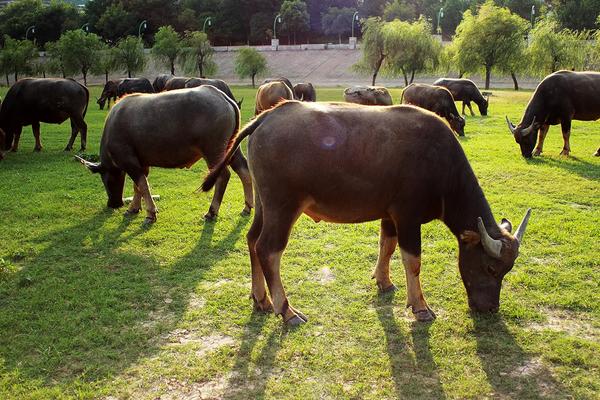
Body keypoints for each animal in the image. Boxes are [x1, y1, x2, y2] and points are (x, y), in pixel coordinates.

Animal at [77, 85, 251, 222]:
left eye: (105, 180)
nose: (112, 204)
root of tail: (224, 98)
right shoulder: (142, 163)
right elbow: (137, 186)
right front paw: (133, 208)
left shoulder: (129, 162)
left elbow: (142, 184)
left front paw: (150, 213)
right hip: (232, 147)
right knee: (243, 169)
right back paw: (248, 207)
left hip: (213, 151)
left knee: (223, 175)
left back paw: (211, 212)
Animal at [204, 101, 532, 326]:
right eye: (491, 268)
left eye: (507, 270)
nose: (489, 308)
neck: (442, 166)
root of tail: (268, 115)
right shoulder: (408, 217)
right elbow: (413, 261)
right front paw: (420, 306)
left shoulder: (390, 215)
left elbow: (386, 246)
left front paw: (383, 281)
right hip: (283, 207)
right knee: (268, 250)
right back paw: (286, 310)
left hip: (264, 205)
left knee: (251, 240)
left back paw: (260, 299)